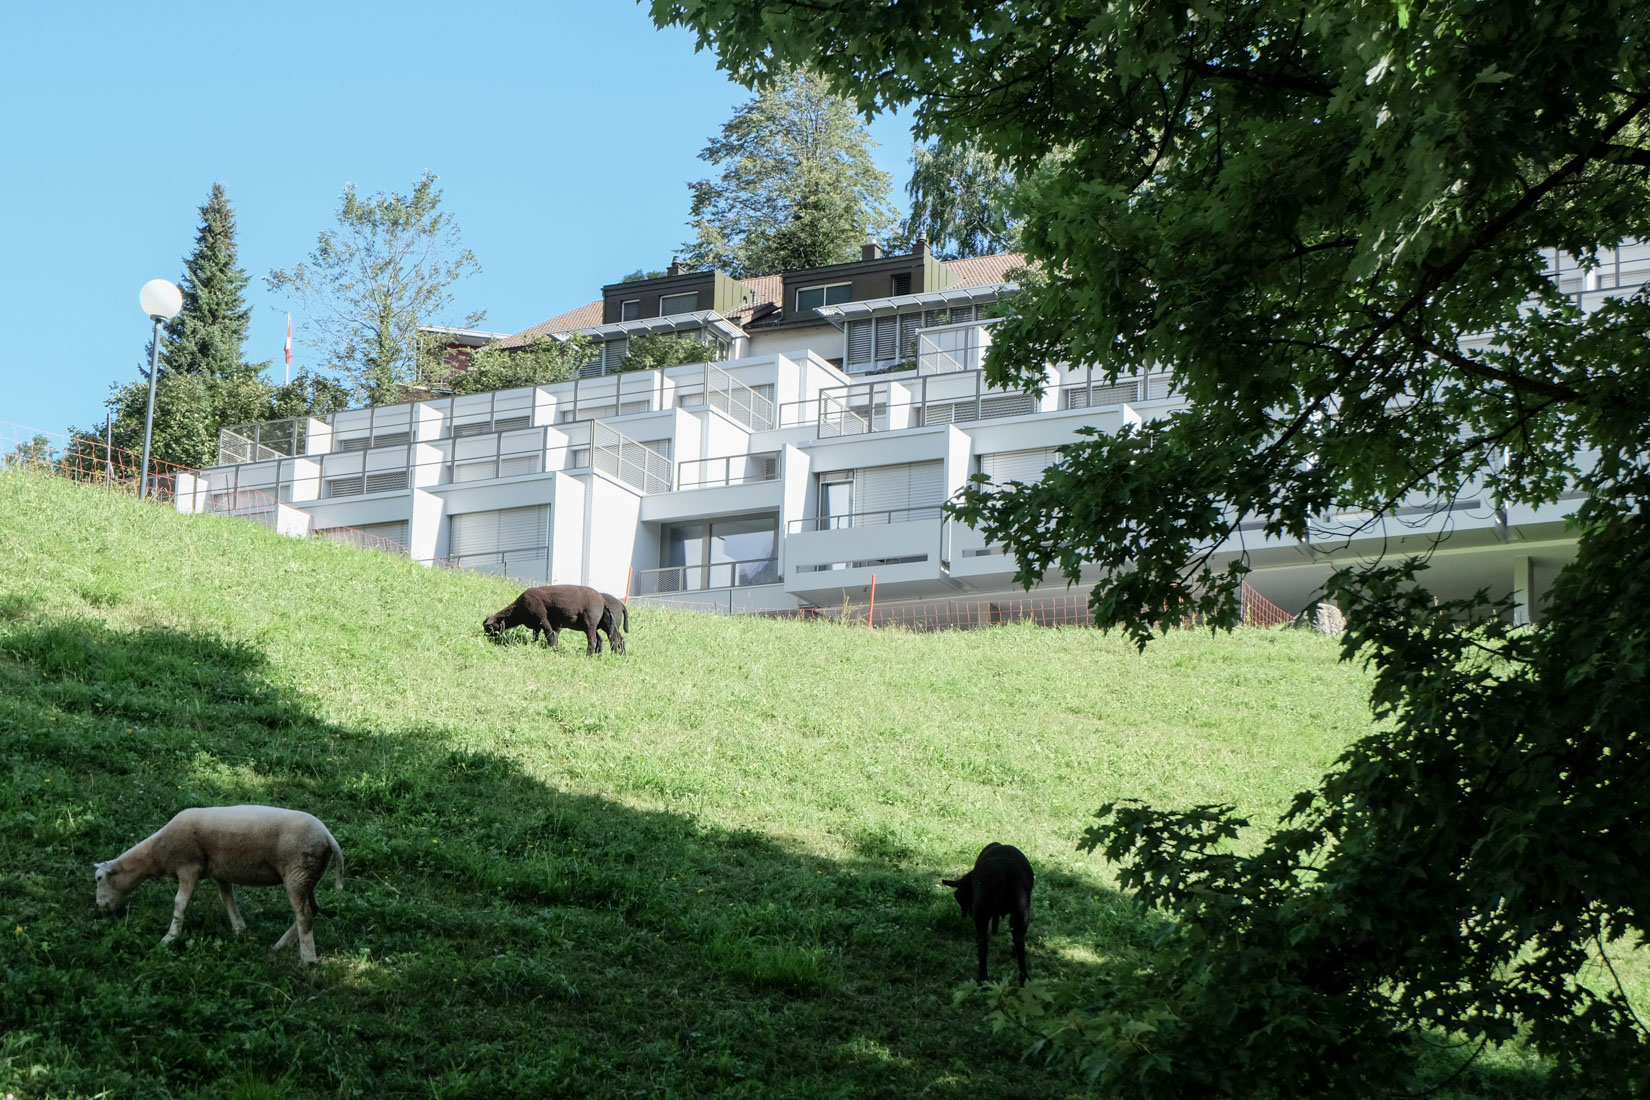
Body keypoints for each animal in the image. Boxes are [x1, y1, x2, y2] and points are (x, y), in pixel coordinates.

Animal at [93, 804, 344, 969]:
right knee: (312, 910)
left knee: (304, 916)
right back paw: (279, 946)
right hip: (308, 876)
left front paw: (170, 938)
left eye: (98, 878)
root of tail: (329, 837)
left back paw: (307, 960)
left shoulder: (189, 867)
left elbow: (180, 902)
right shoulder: (222, 872)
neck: (158, 852)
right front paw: (239, 929)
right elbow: (227, 899)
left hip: (297, 871)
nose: (100, 909)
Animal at [488, 583, 620, 653]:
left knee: (592, 641)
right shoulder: (540, 624)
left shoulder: (542, 618)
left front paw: (554, 650)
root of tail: (602, 600)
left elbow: (550, 636)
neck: (517, 610)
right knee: (601, 639)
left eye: (488, 628)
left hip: (590, 622)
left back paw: (589, 656)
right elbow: (538, 636)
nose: (488, 640)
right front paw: (537, 646)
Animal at [943, 837, 1029, 982]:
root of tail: (1000, 875)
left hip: (982, 911)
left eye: (958, 896)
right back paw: (1023, 979)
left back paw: (982, 979)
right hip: (1020, 911)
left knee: (983, 945)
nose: (963, 916)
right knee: (1018, 943)